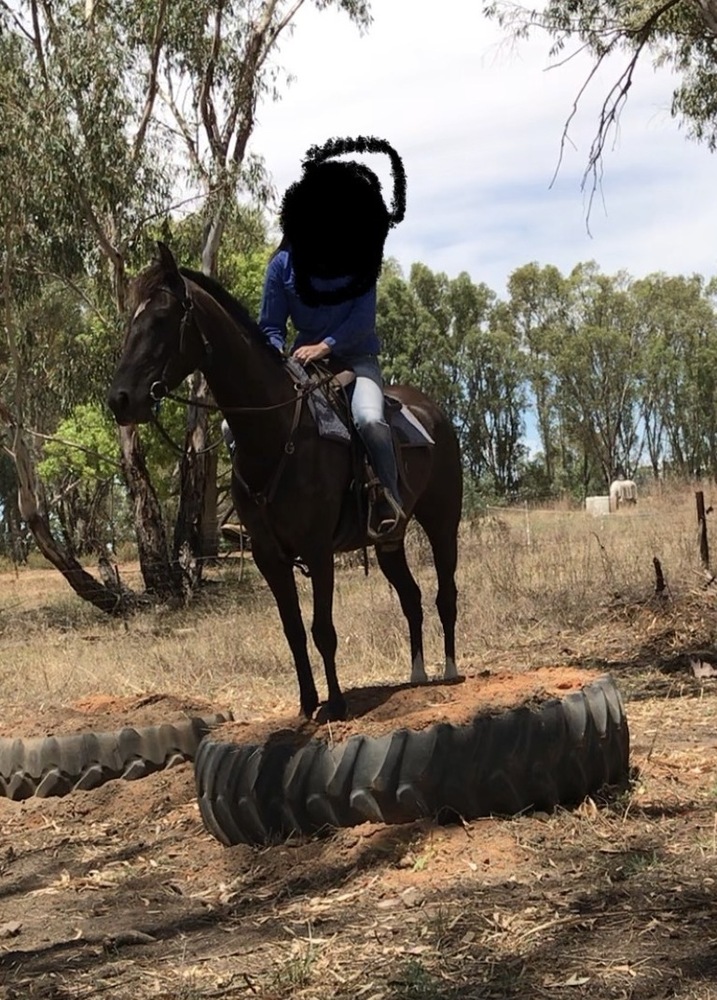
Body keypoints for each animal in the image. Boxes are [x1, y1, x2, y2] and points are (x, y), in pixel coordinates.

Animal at [107, 243, 463, 722]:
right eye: (133, 320)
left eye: (162, 318)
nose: (120, 400)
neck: (275, 432)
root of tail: (434, 412)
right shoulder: (268, 556)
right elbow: (293, 630)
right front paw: (307, 704)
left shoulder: (318, 549)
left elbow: (322, 629)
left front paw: (336, 705)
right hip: (390, 540)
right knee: (411, 598)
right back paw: (418, 675)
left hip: (443, 523)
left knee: (446, 594)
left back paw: (449, 670)